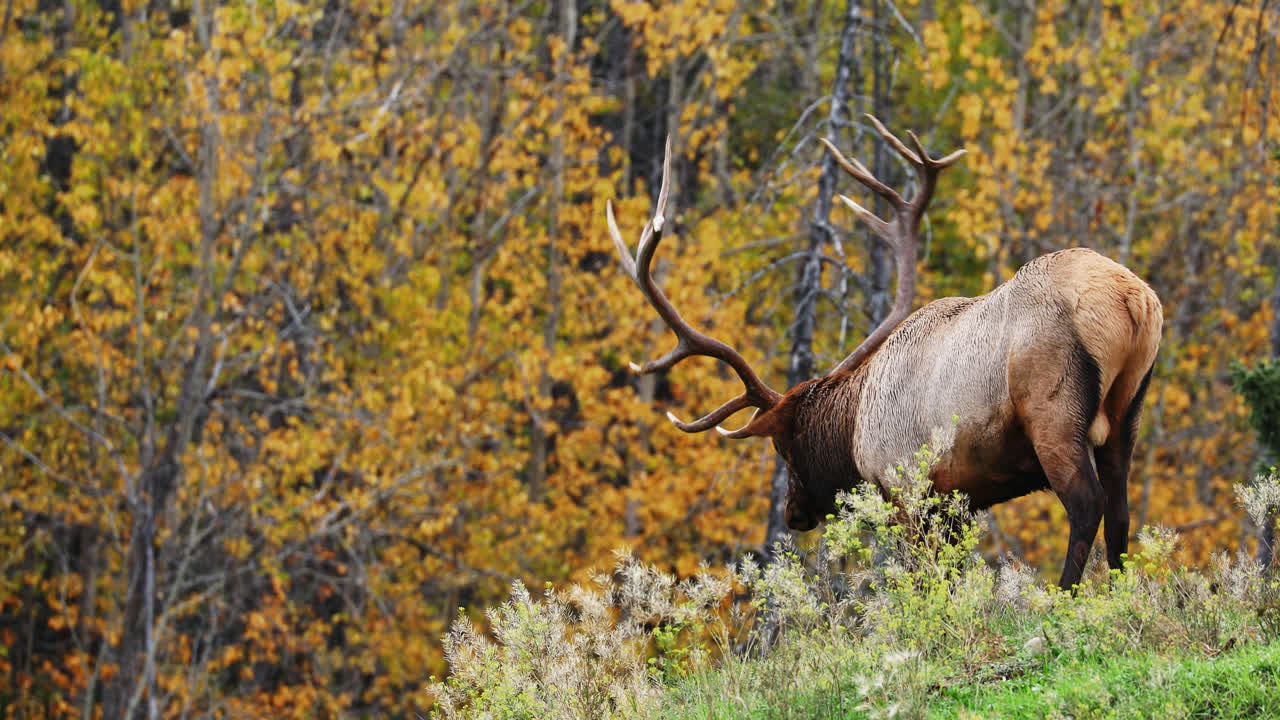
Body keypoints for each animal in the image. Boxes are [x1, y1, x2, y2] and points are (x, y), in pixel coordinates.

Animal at [605, 117, 1162, 590]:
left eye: (783, 447)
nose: (792, 513)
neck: (855, 426)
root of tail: (1132, 300)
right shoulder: (957, 501)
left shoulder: (908, 488)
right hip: (1128, 412)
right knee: (1121, 511)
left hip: (1053, 409)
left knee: (1087, 504)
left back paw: (1063, 597)